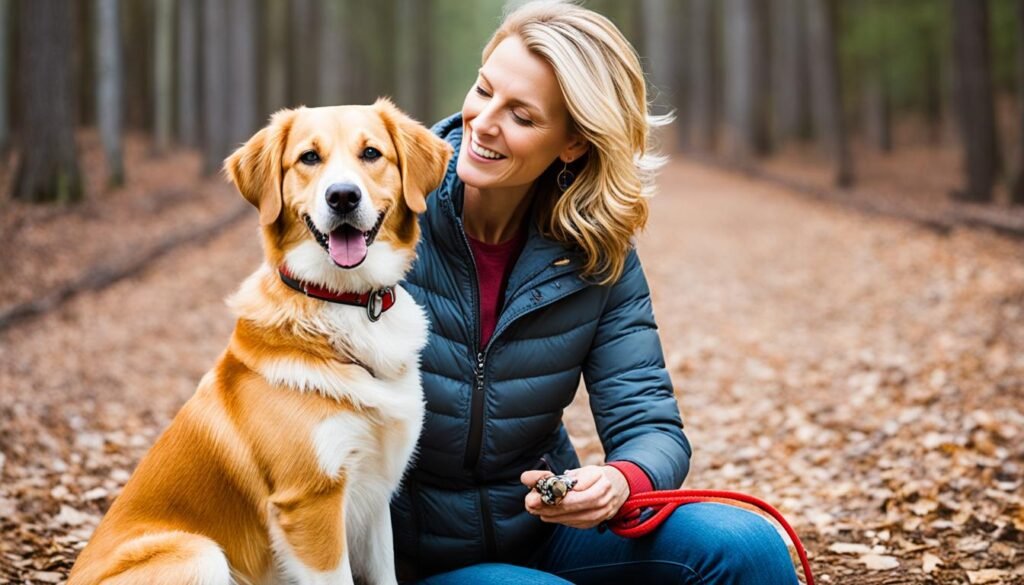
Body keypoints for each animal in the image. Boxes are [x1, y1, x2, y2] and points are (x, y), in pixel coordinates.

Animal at [70, 98, 454, 581]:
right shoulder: (310, 502)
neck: (345, 302)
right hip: (200, 553)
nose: (342, 196)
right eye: (309, 157)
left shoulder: (375, 495)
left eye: (371, 153)